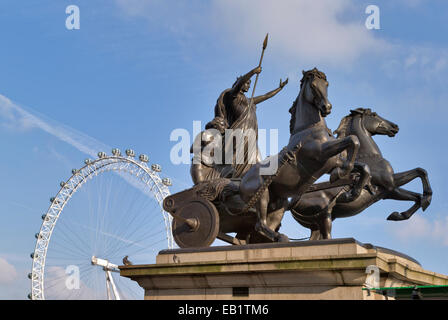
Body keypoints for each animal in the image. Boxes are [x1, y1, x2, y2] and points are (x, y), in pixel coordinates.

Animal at [240, 68, 362, 242]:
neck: (309, 129)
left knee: (264, 225)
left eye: (326, 84)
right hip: (262, 195)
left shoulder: (332, 162)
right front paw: (340, 175)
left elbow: (362, 164)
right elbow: (353, 140)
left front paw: (354, 189)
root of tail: (242, 181)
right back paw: (280, 237)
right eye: (313, 85)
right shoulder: (321, 152)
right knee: (259, 224)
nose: (327, 107)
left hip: (280, 203)